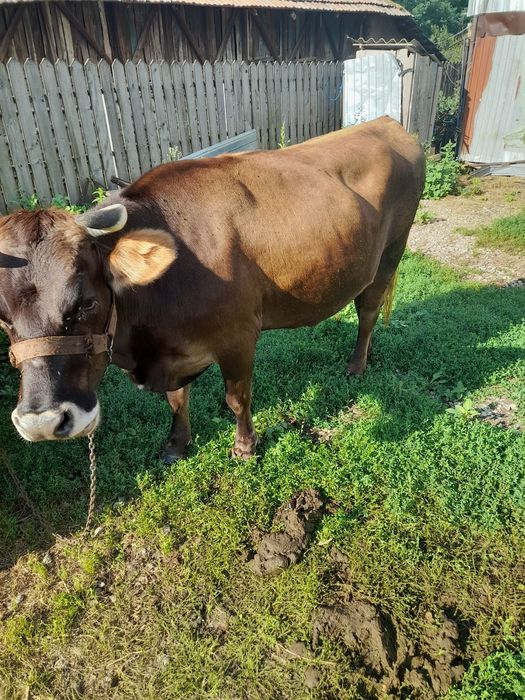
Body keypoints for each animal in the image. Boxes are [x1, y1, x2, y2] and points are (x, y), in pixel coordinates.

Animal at [0, 116, 425, 460]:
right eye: (3, 319)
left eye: (86, 303)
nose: (42, 422)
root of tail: (386, 123)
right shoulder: (173, 353)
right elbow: (176, 401)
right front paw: (176, 444)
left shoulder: (239, 337)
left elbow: (237, 398)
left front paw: (245, 446)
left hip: (393, 248)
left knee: (368, 309)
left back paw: (356, 365)